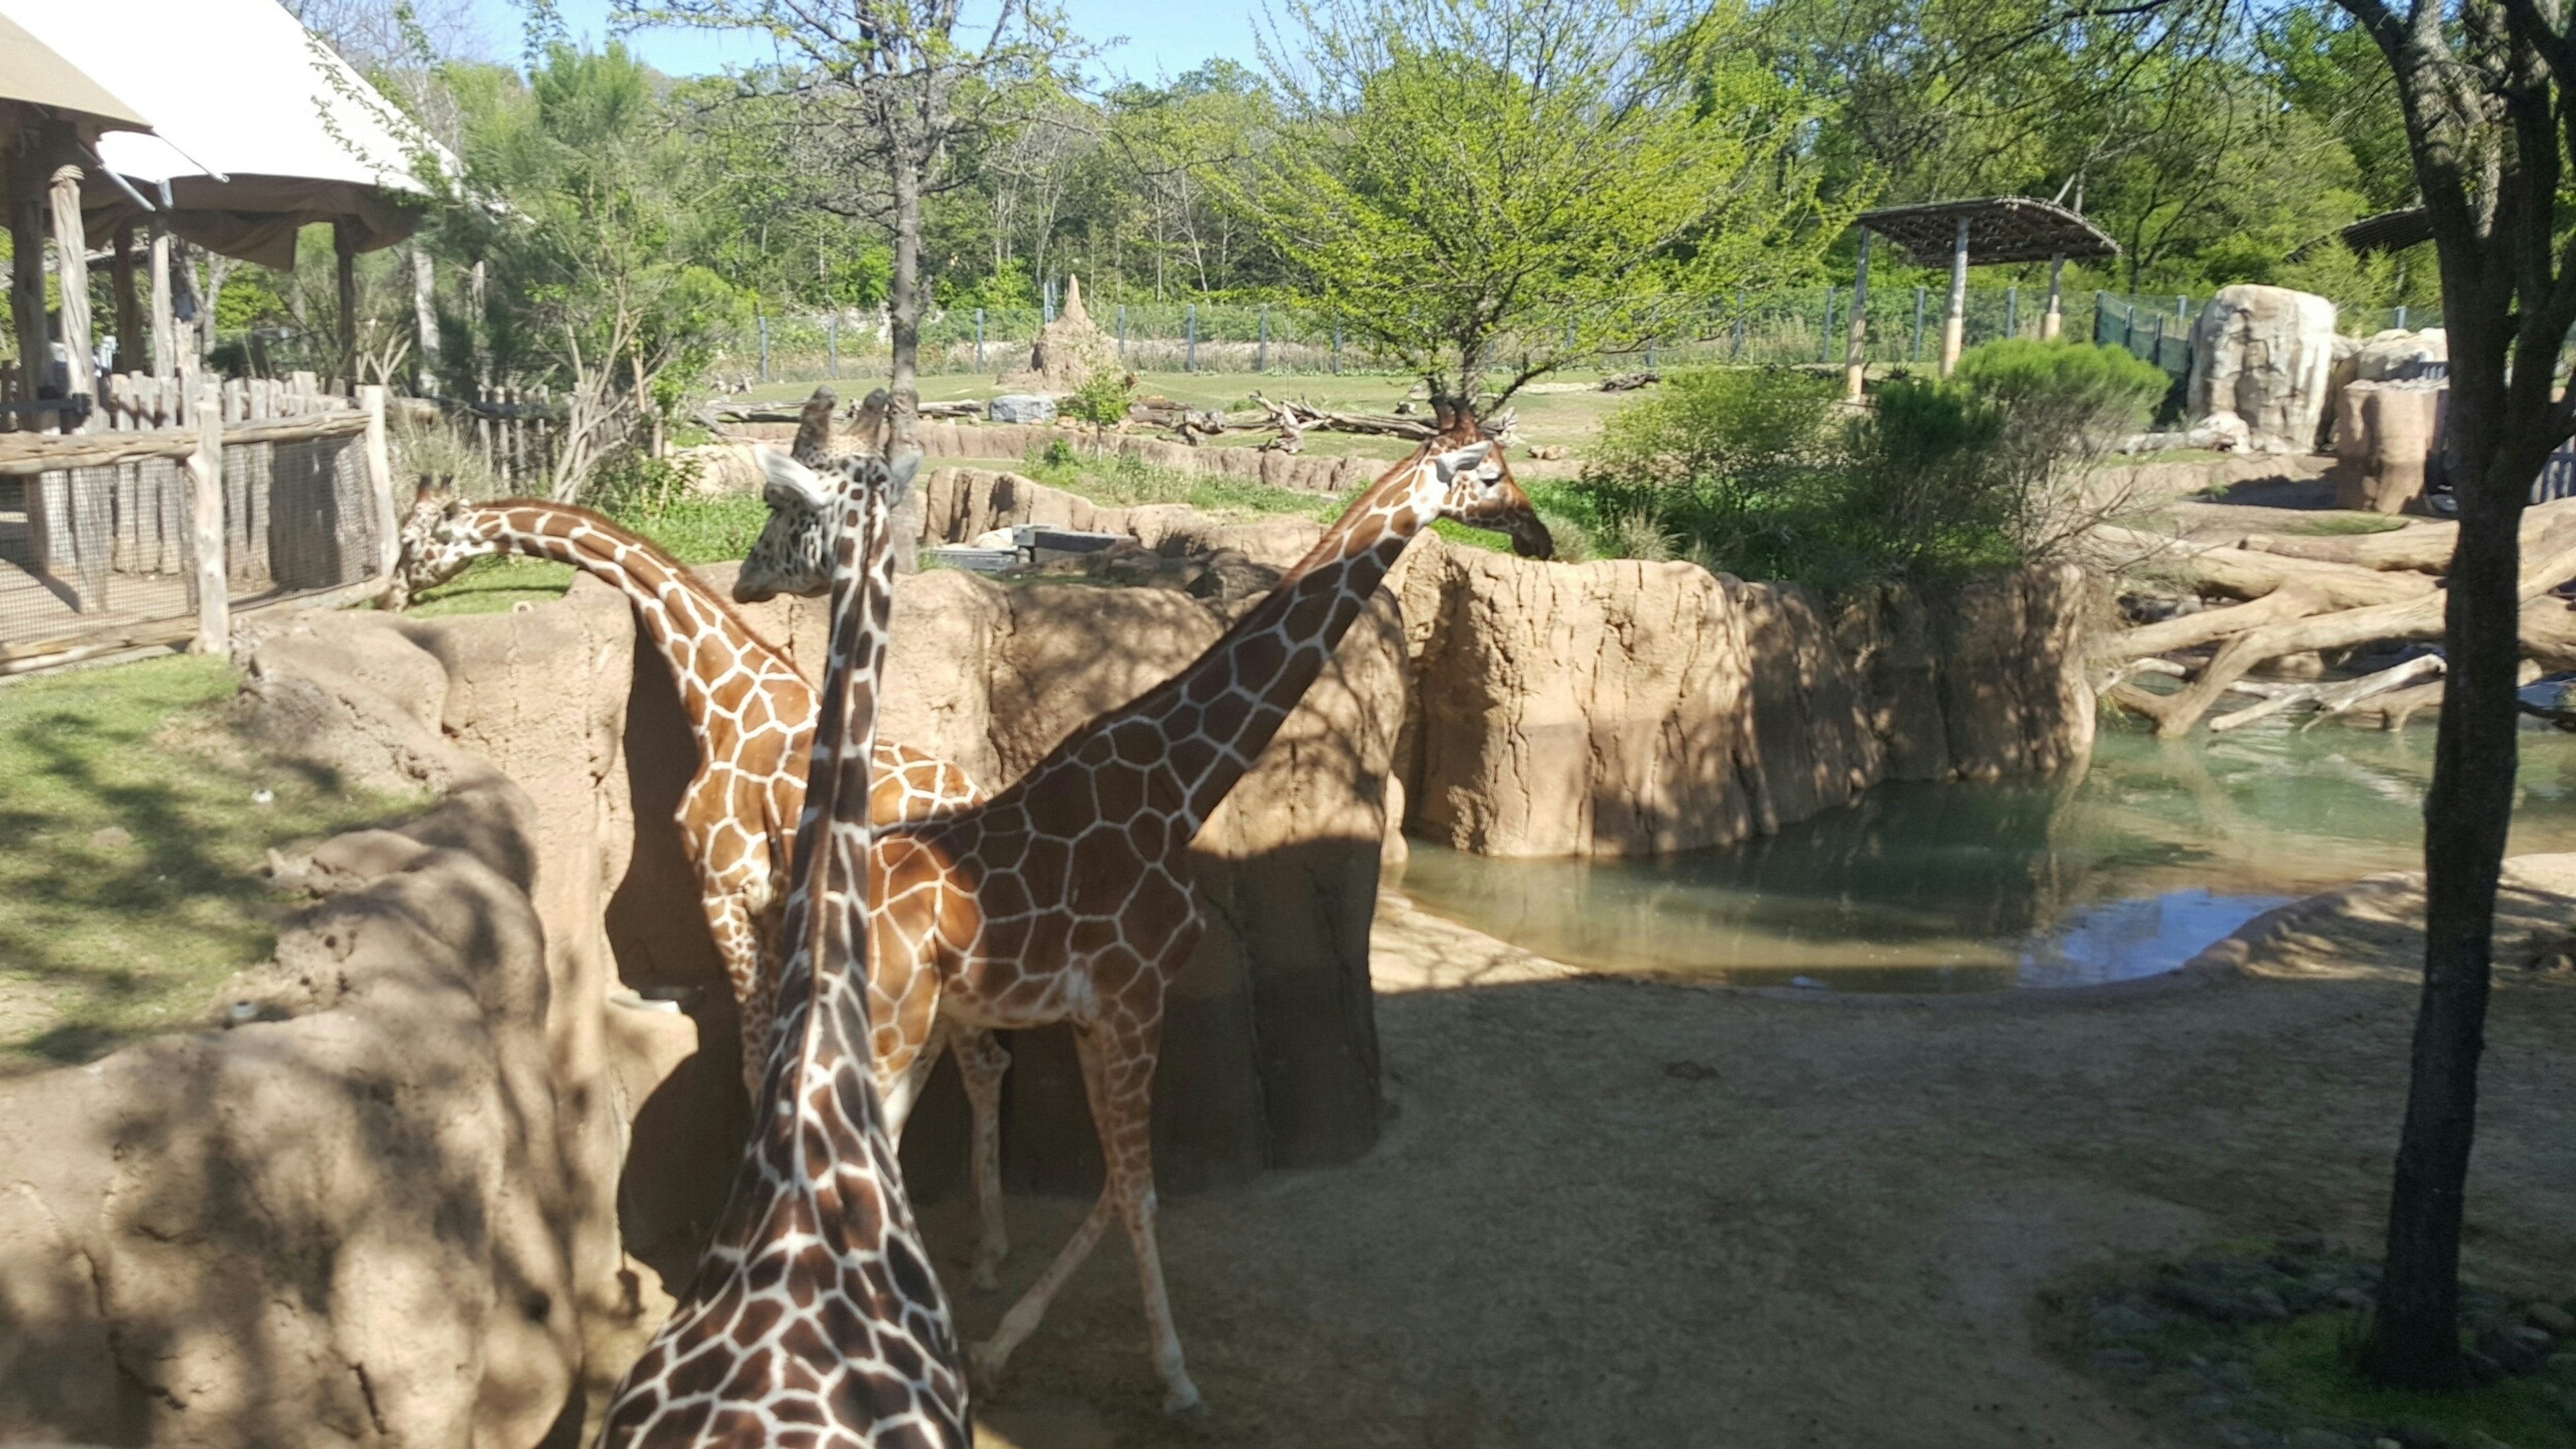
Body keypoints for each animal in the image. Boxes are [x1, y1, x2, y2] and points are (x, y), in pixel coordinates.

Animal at [386, 479, 979, 1087]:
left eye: (409, 539)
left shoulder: (722, 889)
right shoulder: (768, 900)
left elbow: (755, 1058)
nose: (390, 595)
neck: (724, 700)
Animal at [747, 402, 1546, 1413]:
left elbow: (1112, 1186)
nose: (1538, 532)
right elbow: (1138, 1188)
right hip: (890, 1027)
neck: (1181, 784)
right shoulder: (1137, 1000)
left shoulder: (1097, 1015)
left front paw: (1000, 1345)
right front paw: (1176, 1377)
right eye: (1491, 473)